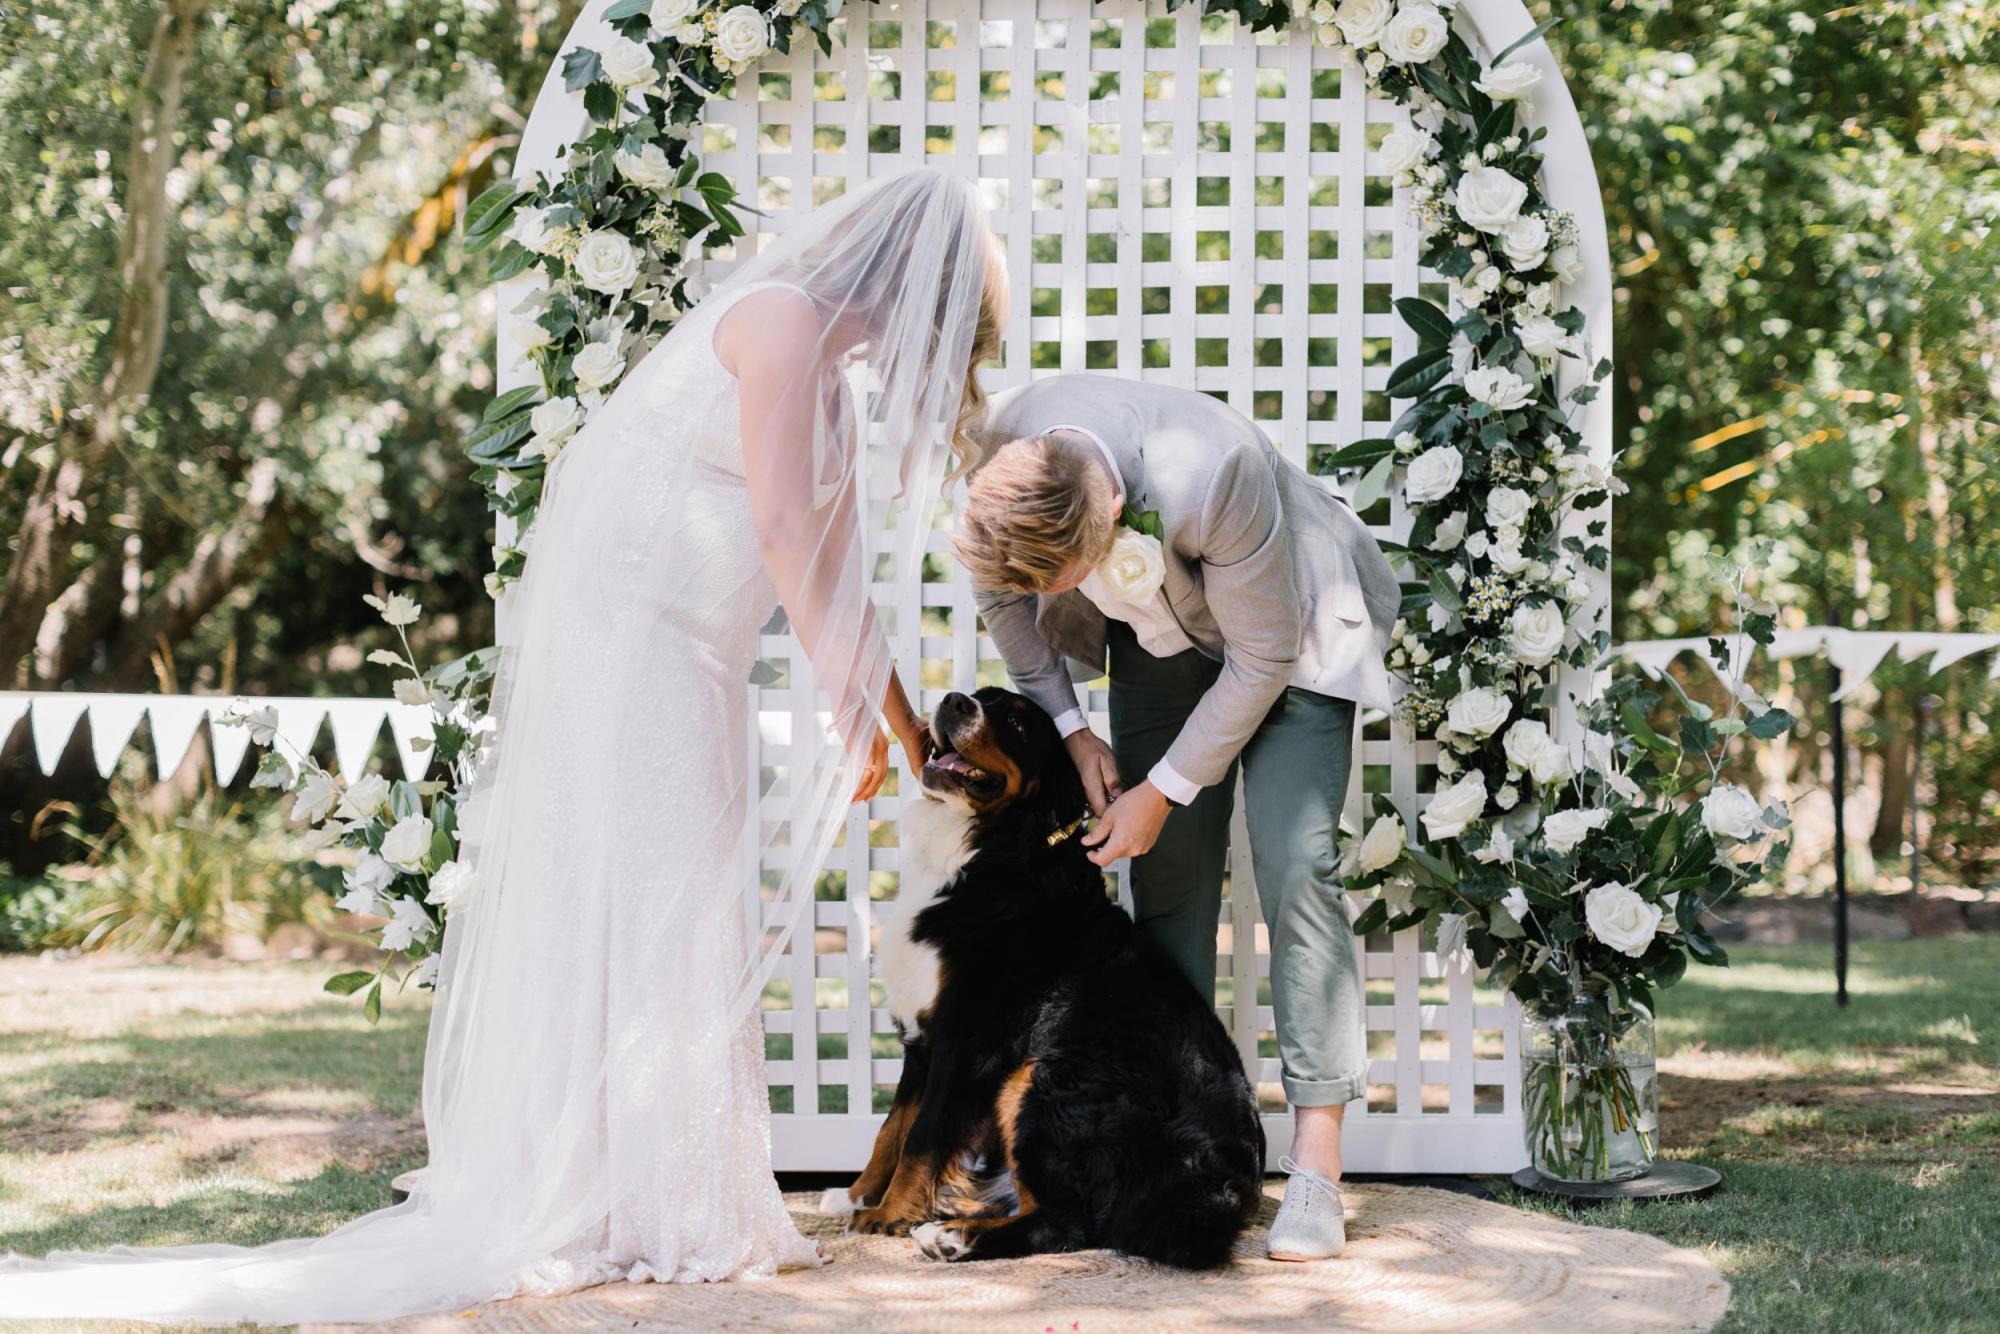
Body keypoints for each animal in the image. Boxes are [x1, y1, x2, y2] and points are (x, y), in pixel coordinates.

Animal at [816, 688, 1256, 1272]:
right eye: (981, 698)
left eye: (1020, 724)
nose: (954, 700)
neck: (995, 850)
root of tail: (1219, 1187)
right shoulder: (923, 1037)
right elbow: (891, 1129)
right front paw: (858, 1194)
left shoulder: (963, 1040)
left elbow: (921, 1136)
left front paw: (888, 1214)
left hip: (1038, 1077)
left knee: (1063, 1223)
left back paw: (952, 1236)